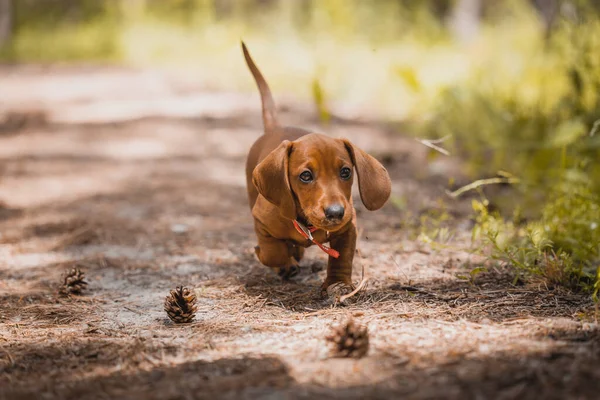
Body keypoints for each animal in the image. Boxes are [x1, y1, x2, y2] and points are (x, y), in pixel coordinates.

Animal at [241, 42, 392, 296]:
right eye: (305, 176)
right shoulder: (261, 221)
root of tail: (275, 128)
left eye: (345, 172)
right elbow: (272, 252)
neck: (307, 224)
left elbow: (342, 258)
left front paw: (338, 283)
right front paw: (279, 260)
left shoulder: (348, 228)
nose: (335, 212)